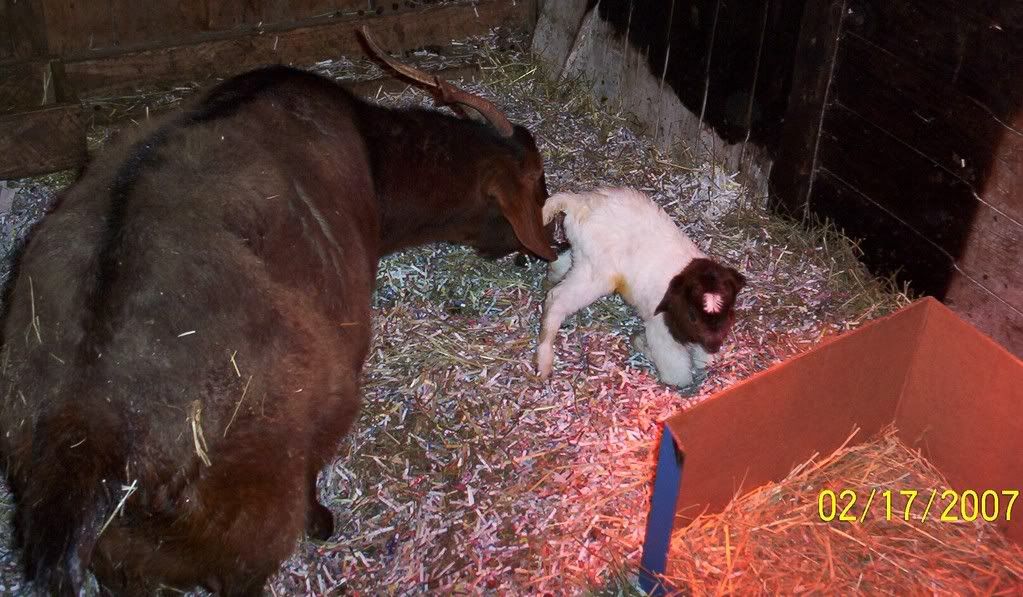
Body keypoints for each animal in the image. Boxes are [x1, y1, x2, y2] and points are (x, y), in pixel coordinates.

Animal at [0, 27, 555, 596]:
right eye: (537, 181)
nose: (545, 243)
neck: (374, 158)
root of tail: (84, 430)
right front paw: (321, 521)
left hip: (128, 560)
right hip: (251, 517)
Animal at [535, 187, 745, 387]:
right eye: (692, 315)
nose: (713, 344)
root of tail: (579, 204)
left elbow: (703, 362)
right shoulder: (661, 331)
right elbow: (677, 375)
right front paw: (640, 342)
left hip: (584, 260)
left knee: (561, 262)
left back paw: (550, 277)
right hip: (596, 275)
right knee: (556, 298)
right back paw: (543, 362)